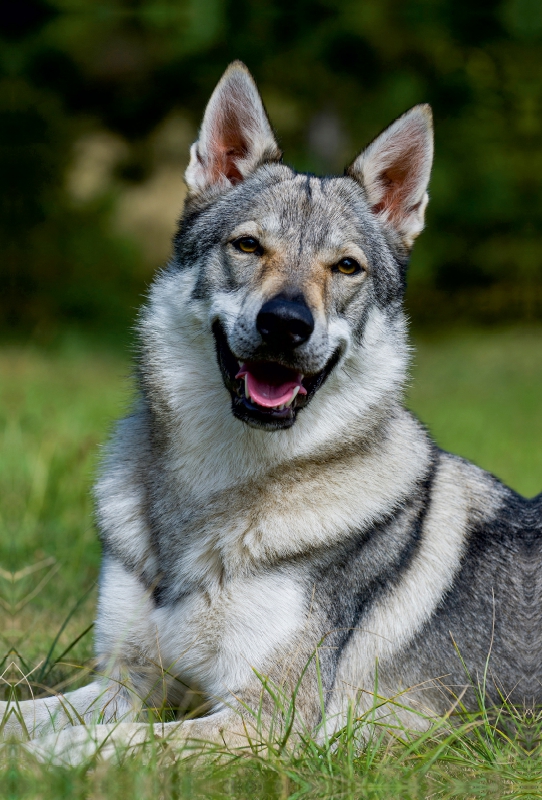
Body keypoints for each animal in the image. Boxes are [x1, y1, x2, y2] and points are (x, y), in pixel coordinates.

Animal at [6, 62, 540, 764]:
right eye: (248, 246)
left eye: (346, 266)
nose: (286, 323)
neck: (215, 488)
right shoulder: (127, 681)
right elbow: (25, 715)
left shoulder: (264, 722)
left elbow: (102, 744)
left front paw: (41, 764)